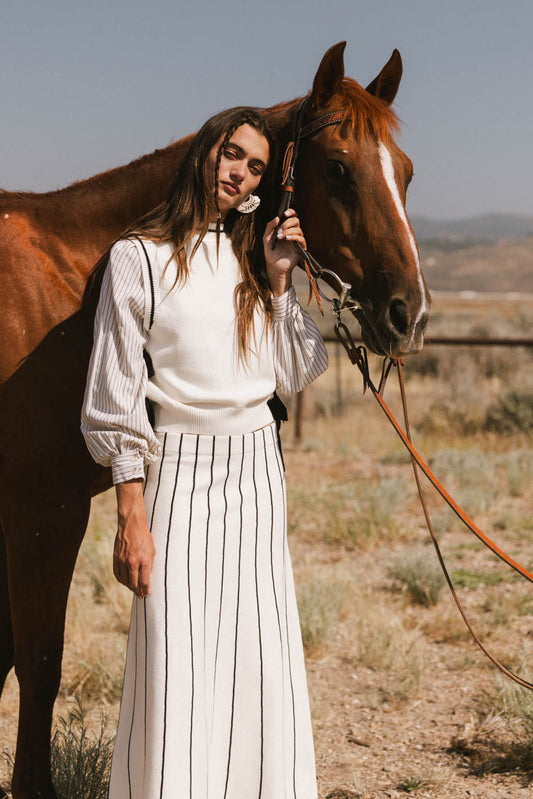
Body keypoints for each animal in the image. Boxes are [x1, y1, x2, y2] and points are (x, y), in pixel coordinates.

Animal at [0, 45, 428, 799]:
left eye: (403, 171)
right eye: (338, 168)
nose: (409, 312)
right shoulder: (40, 510)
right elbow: (40, 658)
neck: (67, 284)